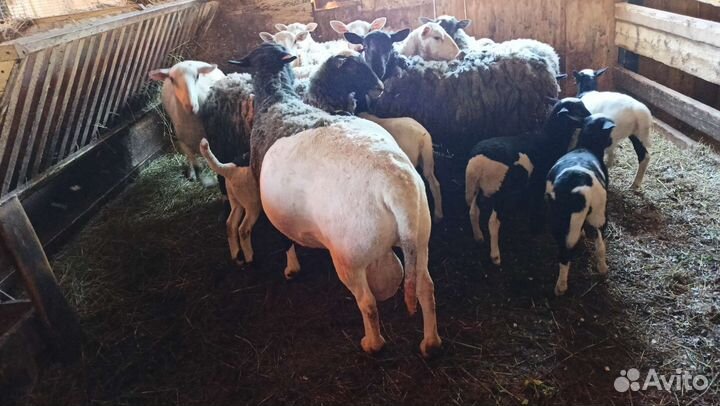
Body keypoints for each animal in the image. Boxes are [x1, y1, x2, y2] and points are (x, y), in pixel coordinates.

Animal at [229, 43, 441, 356]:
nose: (378, 87)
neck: (277, 102)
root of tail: (395, 187)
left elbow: (285, 240)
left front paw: (291, 269)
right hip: (419, 239)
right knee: (426, 289)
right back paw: (430, 343)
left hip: (348, 256)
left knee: (367, 303)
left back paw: (372, 344)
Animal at [465, 98, 591, 266]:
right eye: (578, 110)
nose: (591, 117)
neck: (551, 139)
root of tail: (477, 163)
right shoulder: (539, 181)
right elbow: (536, 202)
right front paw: (536, 226)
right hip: (500, 191)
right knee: (493, 222)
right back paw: (495, 255)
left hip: (478, 188)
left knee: (473, 211)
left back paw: (478, 236)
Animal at [546, 114, 615, 296]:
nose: (611, 141)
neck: (586, 146)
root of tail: (581, 189)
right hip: (599, 213)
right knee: (600, 245)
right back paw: (602, 269)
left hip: (563, 221)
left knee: (565, 253)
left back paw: (561, 287)